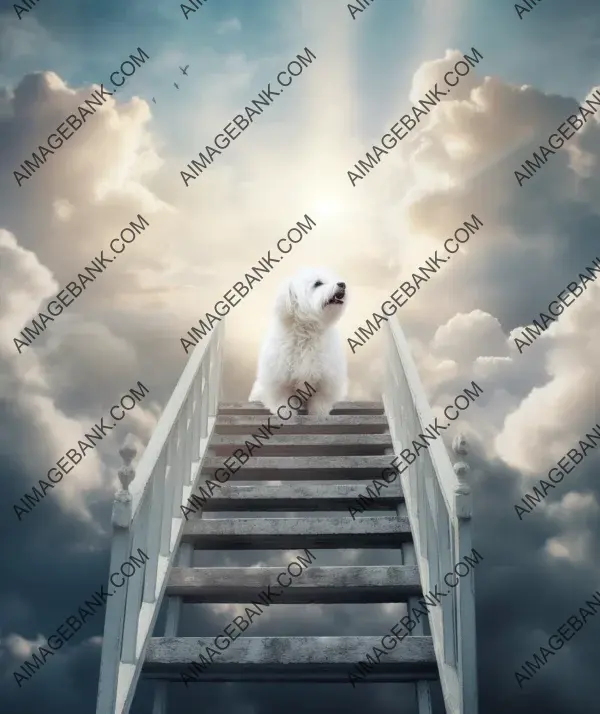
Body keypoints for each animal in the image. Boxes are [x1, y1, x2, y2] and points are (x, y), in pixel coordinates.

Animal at [248, 268, 350, 418]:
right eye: (318, 283)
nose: (342, 284)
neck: (306, 333)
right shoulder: (279, 378)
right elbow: (282, 399)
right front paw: (284, 412)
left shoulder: (325, 379)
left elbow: (320, 401)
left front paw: (319, 414)